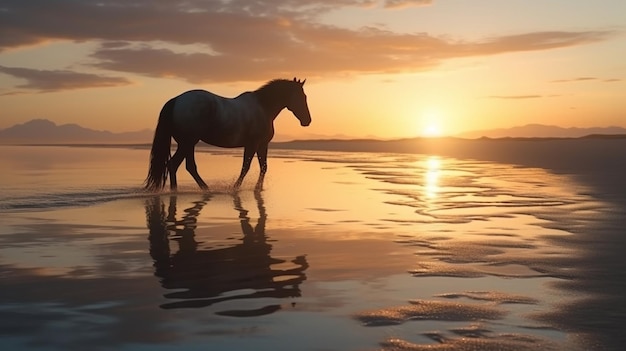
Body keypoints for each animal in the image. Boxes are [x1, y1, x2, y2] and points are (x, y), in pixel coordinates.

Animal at [144, 78, 310, 191]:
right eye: (302, 97)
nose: (307, 120)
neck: (264, 108)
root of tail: (176, 100)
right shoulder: (252, 144)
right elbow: (246, 167)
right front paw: (236, 188)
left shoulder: (262, 145)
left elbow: (263, 167)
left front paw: (258, 188)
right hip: (188, 142)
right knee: (178, 164)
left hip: (187, 144)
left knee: (182, 165)